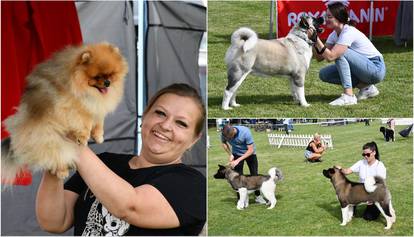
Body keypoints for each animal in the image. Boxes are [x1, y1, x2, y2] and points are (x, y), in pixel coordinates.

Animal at [1, 42, 128, 180]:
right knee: (56, 156)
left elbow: (99, 121)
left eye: (110, 74)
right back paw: (62, 171)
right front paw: (83, 137)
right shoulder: (76, 108)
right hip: (50, 140)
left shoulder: (95, 107)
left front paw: (98, 136)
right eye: (97, 77)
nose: (107, 83)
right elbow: (85, 123)